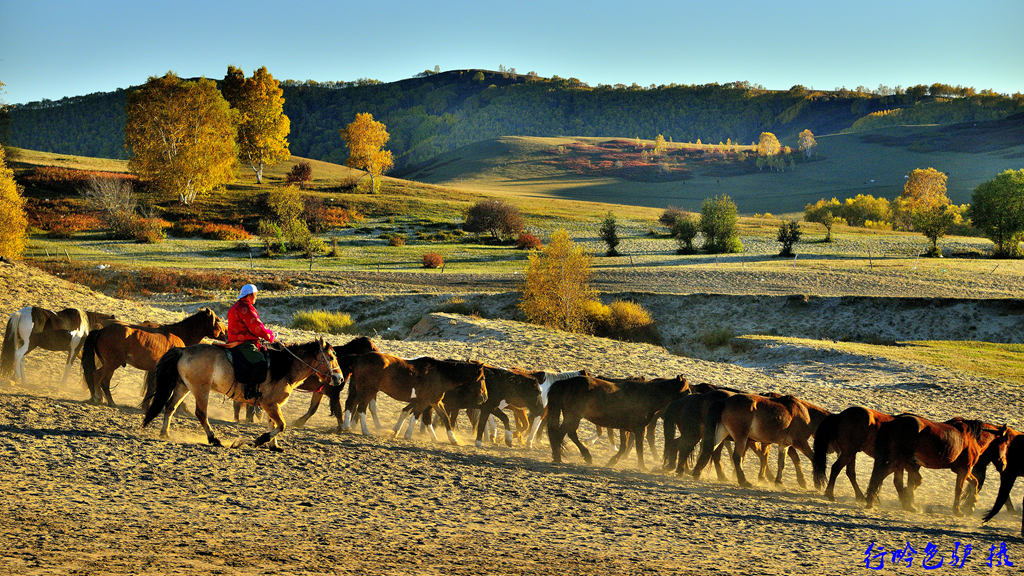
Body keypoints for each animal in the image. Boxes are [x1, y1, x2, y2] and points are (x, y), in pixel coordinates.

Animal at [84, 307, 227, 405]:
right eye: (218, 320)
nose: (226, 333)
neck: (177, 334)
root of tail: (101, 330)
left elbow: (152, 388)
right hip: (112, 363)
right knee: (98, 376)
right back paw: (99, 398)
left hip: (110, 364)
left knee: (104, 381)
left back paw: (108, 401)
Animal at [143, 336, 344, 448]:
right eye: (331, 357)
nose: (340, 379)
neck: (284, 367)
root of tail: (183, 350)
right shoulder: (269, 404)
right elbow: (281, 425)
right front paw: (261, 440)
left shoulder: (271, 405)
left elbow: (273, 424)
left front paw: (274, 445)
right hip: (201, 389)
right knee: (201, 413)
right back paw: (213, 439)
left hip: (183, 386)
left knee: (170, 407)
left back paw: (165, 433)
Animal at [344, 350, 487, 444]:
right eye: (483, 378)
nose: (484, 398)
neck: (440, 374)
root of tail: (359, 358)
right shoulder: (423, 402)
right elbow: (416, 416)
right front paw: (407, 435)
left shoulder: (434, 402)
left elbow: (442, 418)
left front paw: (452, 439)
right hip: (368, 391)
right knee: (361, 408)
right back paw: (365, 431)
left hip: (359, 390)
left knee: (350, 404)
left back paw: (346, 426)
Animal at [544, 368, 688, 469]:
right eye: (687, 391)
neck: (646, 396)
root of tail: (564, 383)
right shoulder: (639, 429)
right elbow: (639, 448)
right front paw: (642, 466)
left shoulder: (625, 428)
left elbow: (624, 446)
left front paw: (612, 461)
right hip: (574, 415)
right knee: (563, 433)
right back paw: (564, 457)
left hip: (571, 415)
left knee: (568, 433)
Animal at [864, 412, 1007, 510]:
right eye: (1006, 444)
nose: (1004, 465)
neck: (972, 437)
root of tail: (895, 420)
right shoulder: (964, 469)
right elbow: (959, 489)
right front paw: (958, 510)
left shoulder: (960, 469)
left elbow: (974, 482)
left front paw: (972, 504)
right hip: (899, 461)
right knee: (881, 477)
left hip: (898, 462)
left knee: (884, 478)